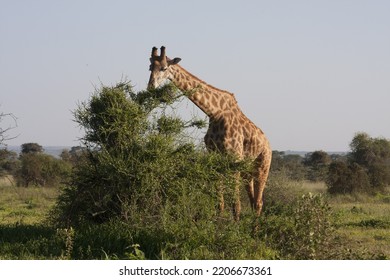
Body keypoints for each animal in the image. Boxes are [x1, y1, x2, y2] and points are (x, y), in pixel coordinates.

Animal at [146, 46, 272, 221]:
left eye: (164, 68)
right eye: (150, 67)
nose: (150, 87)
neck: (214, 113)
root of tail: (268, 144)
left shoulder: (234, 158)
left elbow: (236, 204)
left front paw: (235, 226)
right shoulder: (215, 156)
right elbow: (220, 202)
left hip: (262, 167)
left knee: (259, 203)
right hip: (247, 171)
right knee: (254, 202)